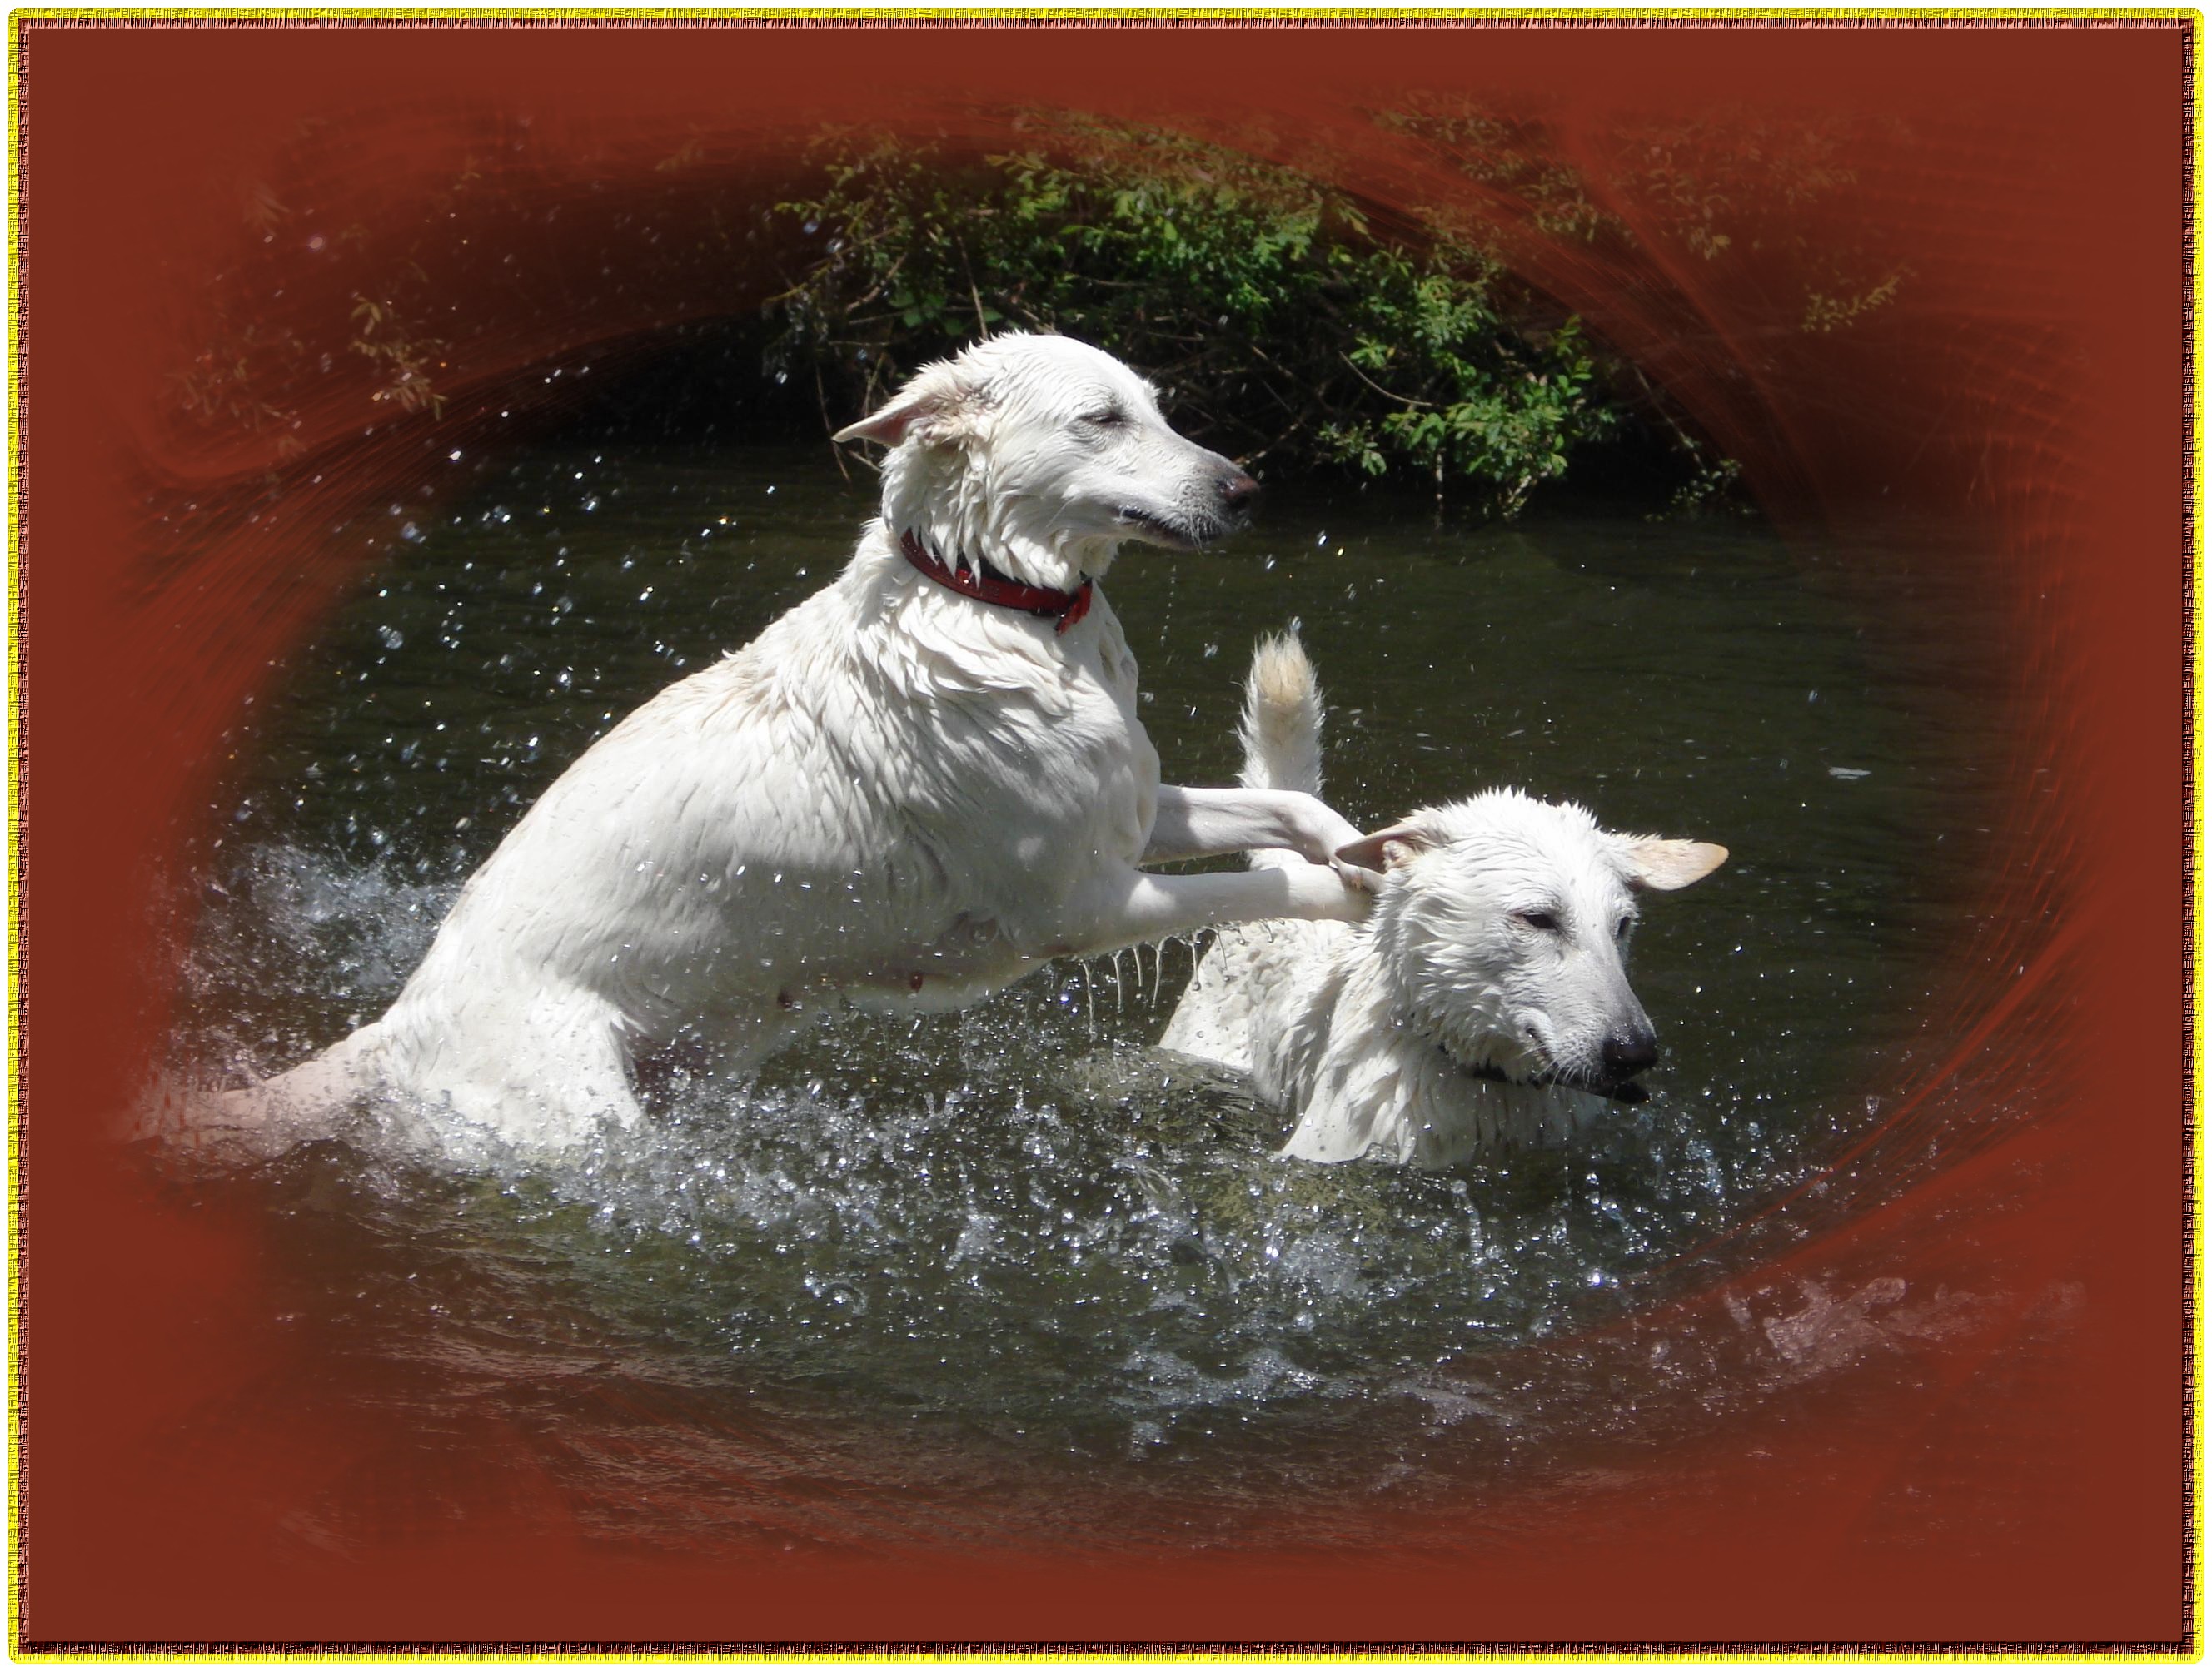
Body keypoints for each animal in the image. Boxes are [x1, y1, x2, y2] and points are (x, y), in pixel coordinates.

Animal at [211, 334, 1380, 1158]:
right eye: (1102, 417)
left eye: (1161, 409)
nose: (1246, 488)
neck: (996, 601)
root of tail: (397, 1025)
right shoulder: (1082, 906)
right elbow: (1277, 886)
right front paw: (1366, 900)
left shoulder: (1133, 812)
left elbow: (1294, 815)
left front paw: (1370, 848)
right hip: (571, 1111)